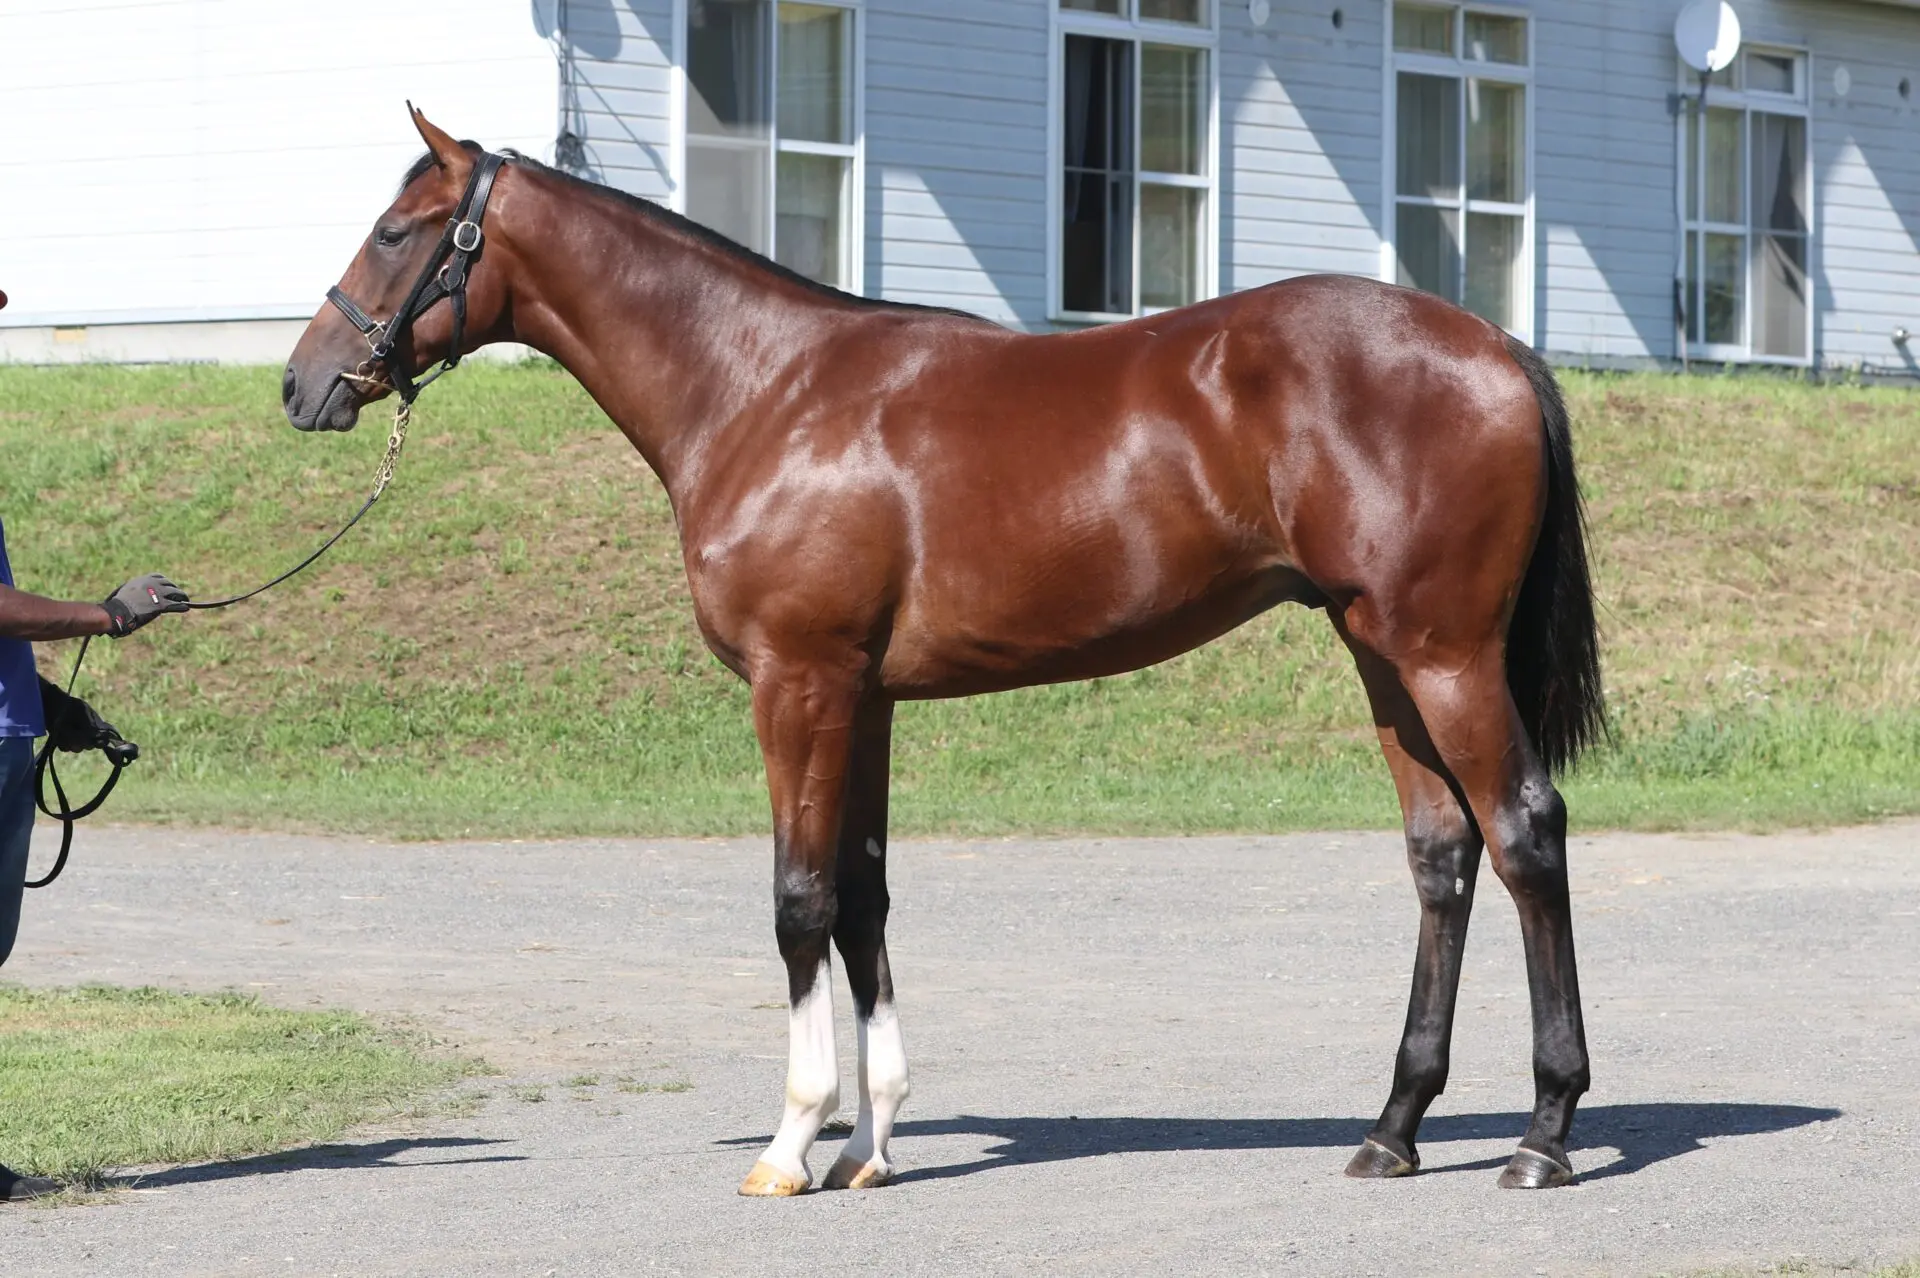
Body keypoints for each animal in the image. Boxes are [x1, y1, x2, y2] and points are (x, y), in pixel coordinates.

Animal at [283, 109, 1605, 1197]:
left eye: (396, 232)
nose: (304, 387)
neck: (763, 389)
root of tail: (1495, 345)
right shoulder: (864, 698)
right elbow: (863, 899)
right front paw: (870, 1144)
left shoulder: (799, 683)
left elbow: (799, 900)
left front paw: (791, 1143)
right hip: (1382, 655)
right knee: (1442, 855)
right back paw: (1393, 1129)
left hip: (1443, 655)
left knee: (1525, 834)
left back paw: (1543, 1135)